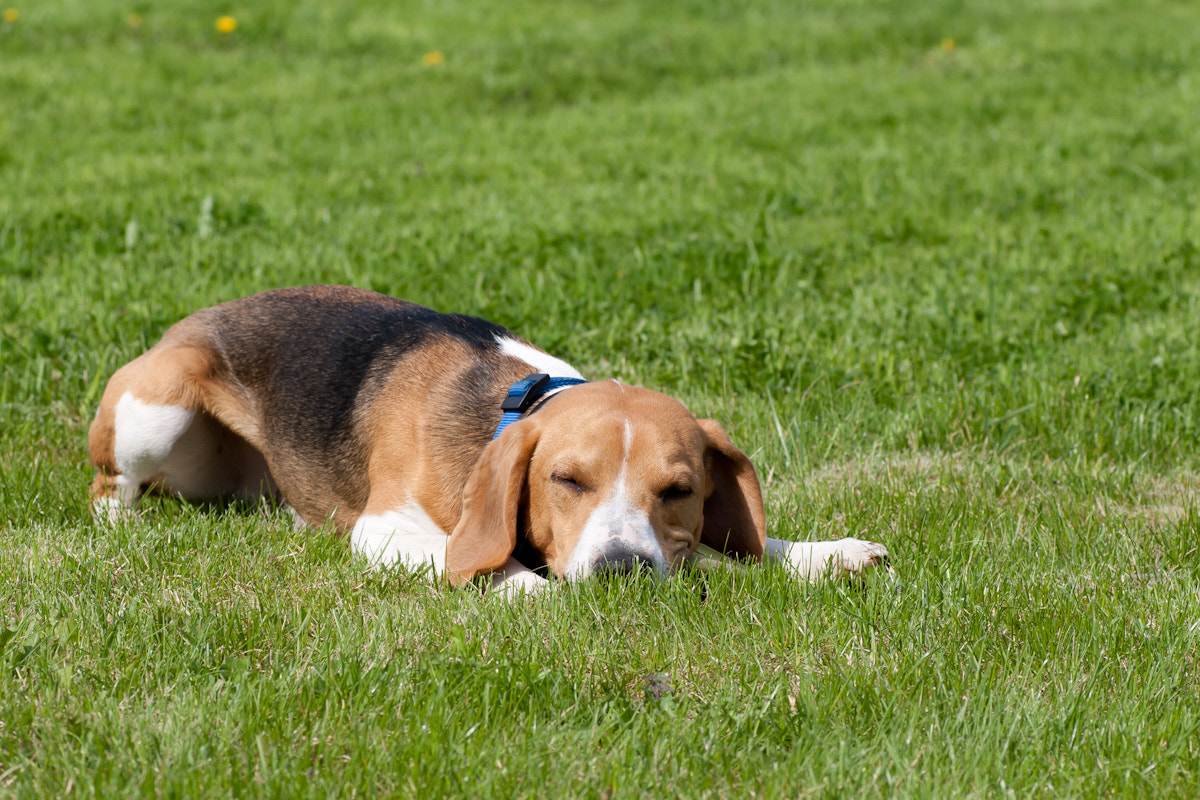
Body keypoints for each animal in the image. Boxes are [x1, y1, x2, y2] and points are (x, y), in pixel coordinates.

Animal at [88, 287, 888, 594]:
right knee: (111, 486)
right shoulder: (384, 530)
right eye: (567, 480)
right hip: (156, 413)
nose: (624, 570)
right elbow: (484, 563)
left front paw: (823, 554)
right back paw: (118, 527)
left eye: (679, 491)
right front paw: (532, 588)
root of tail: (189, 319)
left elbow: (746, 546)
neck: (515, 403)